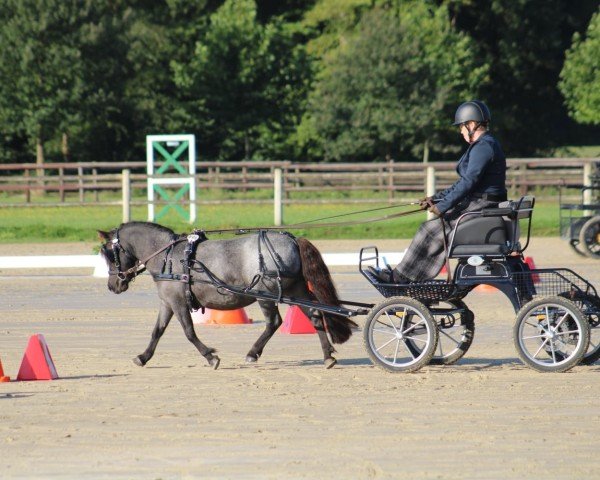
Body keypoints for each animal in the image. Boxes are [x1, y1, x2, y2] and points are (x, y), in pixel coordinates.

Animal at [98, 220, 356, 368]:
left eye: (109, 253)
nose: (113, 285)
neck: (167, 256)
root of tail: (292, 240)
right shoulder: (168, 302)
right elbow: (157, 331)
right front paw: (143, 357)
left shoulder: (178, 302)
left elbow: (189, 332)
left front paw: (211, 357)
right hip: (296, 290)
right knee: (315, 315)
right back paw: (327, 356)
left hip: (266, 295)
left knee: (274, 322)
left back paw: (252, 354)